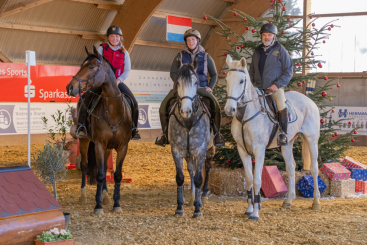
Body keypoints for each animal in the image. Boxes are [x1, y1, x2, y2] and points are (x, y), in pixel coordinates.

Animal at [66, 46, 132, 214]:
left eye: (91, 67)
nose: (69, 87)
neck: (114, 112)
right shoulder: (99, 145)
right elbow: (101, 174)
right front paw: (98, 206)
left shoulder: (122, 147)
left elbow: (117, 175)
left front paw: (116, 204)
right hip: (84, 141)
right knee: (84, 165)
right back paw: (83, 195)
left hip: (108, 147)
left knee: (105, 167)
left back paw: (107, 197)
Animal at [170, 58, 216, 218]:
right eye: (178, 83)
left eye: (196, 83)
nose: (186, 111)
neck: (188, 123)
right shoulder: (177, 151)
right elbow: (180, 177)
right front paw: (179, 207)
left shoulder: (201, 151)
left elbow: (198, 178)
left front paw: (197, 210)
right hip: (188, 154)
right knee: (191, 169)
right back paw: (192, 198)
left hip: (210, 148)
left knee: (206, 167)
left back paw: (204, 194)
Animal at [224, 55, 322, 222]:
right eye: (226, 79)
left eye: (241, 81)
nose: (229, 109)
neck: (246, 115)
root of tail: (309, 101)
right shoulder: (242, 150)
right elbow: (249, 179)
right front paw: (249, 209)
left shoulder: (259, 150)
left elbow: (257, 180)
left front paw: (256, 212)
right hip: (287, 143)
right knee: (291, 167)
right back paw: (288, 201)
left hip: (311, 139)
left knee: (314, 168)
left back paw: (316, 202)